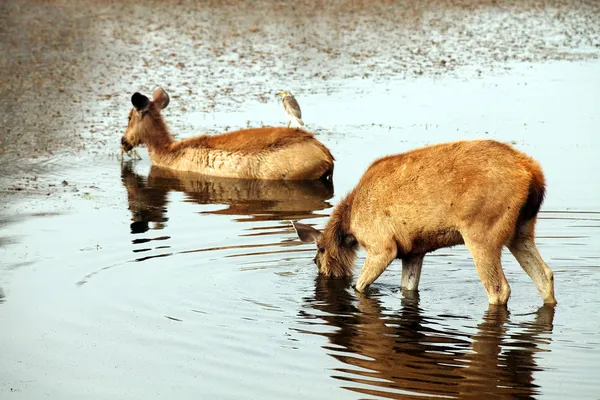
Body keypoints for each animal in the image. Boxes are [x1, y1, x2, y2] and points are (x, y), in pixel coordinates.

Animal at [292, 139, 560, 304]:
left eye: (317, 257)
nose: (325, 277)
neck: (348, 226)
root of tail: (532, 173)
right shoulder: (413, 251)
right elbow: (408, 288)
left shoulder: (382, 246)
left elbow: (359, 286)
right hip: (522, 229)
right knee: (545, 275)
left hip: (482, 233)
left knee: (499, 288)